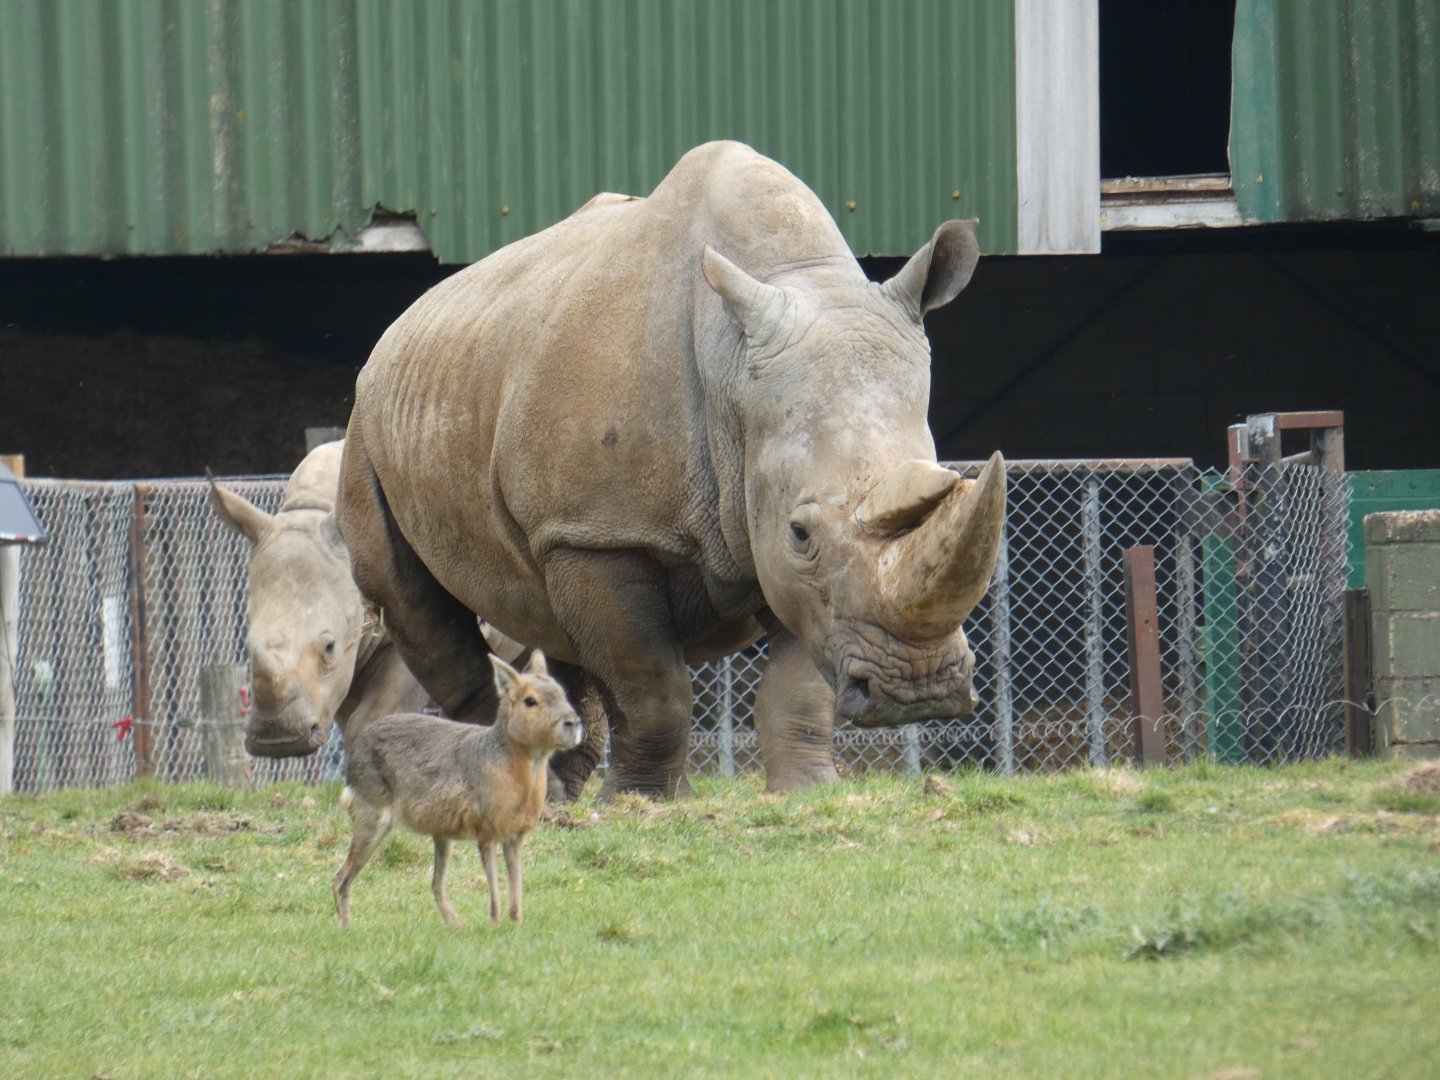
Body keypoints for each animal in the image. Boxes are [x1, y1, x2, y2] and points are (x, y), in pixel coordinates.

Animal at [338, 141, 1005, 798]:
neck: (731, 370)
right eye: (801, 533)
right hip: (366, 421)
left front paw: (805, 792)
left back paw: (559, 792)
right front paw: (644, 802)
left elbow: (797, 688)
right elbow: (652, 685)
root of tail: (398, 326)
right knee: (412, 601)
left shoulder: (783, 561)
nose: (918, 689)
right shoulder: (598, 532)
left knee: (549, 623)